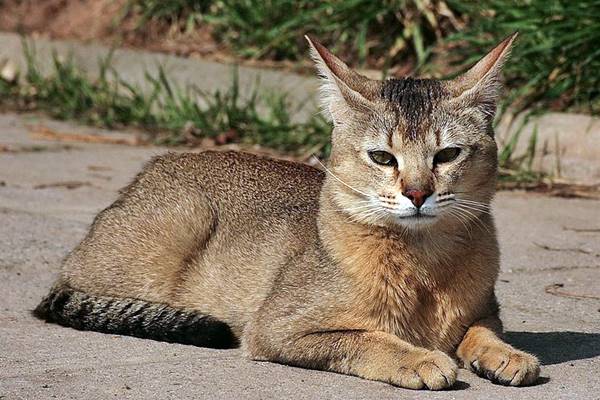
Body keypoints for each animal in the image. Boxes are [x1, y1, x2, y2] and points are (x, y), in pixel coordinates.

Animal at [32, 32, 540, 390]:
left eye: (447, 155)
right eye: (382, 158)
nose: (417, 194)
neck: (424, 267)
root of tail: (153, 167)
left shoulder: (485, 310)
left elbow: (482, 331)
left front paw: (505, 354)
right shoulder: (275, 329)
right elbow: (361, 338)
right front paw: (416, 357)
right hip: (175, 229)